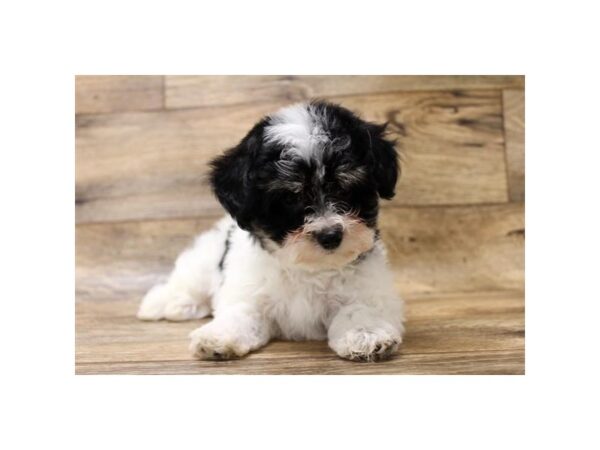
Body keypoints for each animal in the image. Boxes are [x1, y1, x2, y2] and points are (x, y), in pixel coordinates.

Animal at [138, 100, 406, 360]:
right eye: (290, 197)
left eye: (343, 187)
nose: (330, 236)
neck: (307, 267)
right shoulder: (248, 289)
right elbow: (240, 312)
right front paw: (217, 337)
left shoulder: (368, 288)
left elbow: (360, 309)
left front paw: (365, 334)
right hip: (204, 258)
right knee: (189, 280)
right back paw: (163, 302)